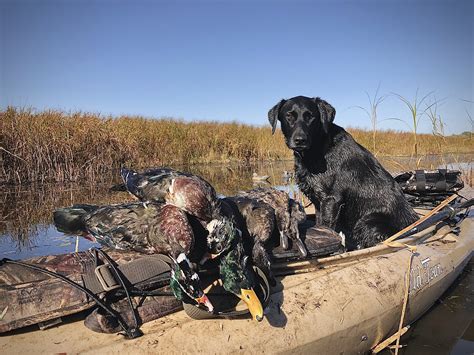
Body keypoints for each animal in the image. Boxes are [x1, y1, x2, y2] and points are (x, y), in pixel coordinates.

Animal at [268, 96, 416, 249]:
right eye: (289, 116)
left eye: (311, 117)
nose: (300, 140)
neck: (317, 149)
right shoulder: (319, 202)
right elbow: (319, 224)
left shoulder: (331, 199)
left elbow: (327, 227)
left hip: (368, 221)